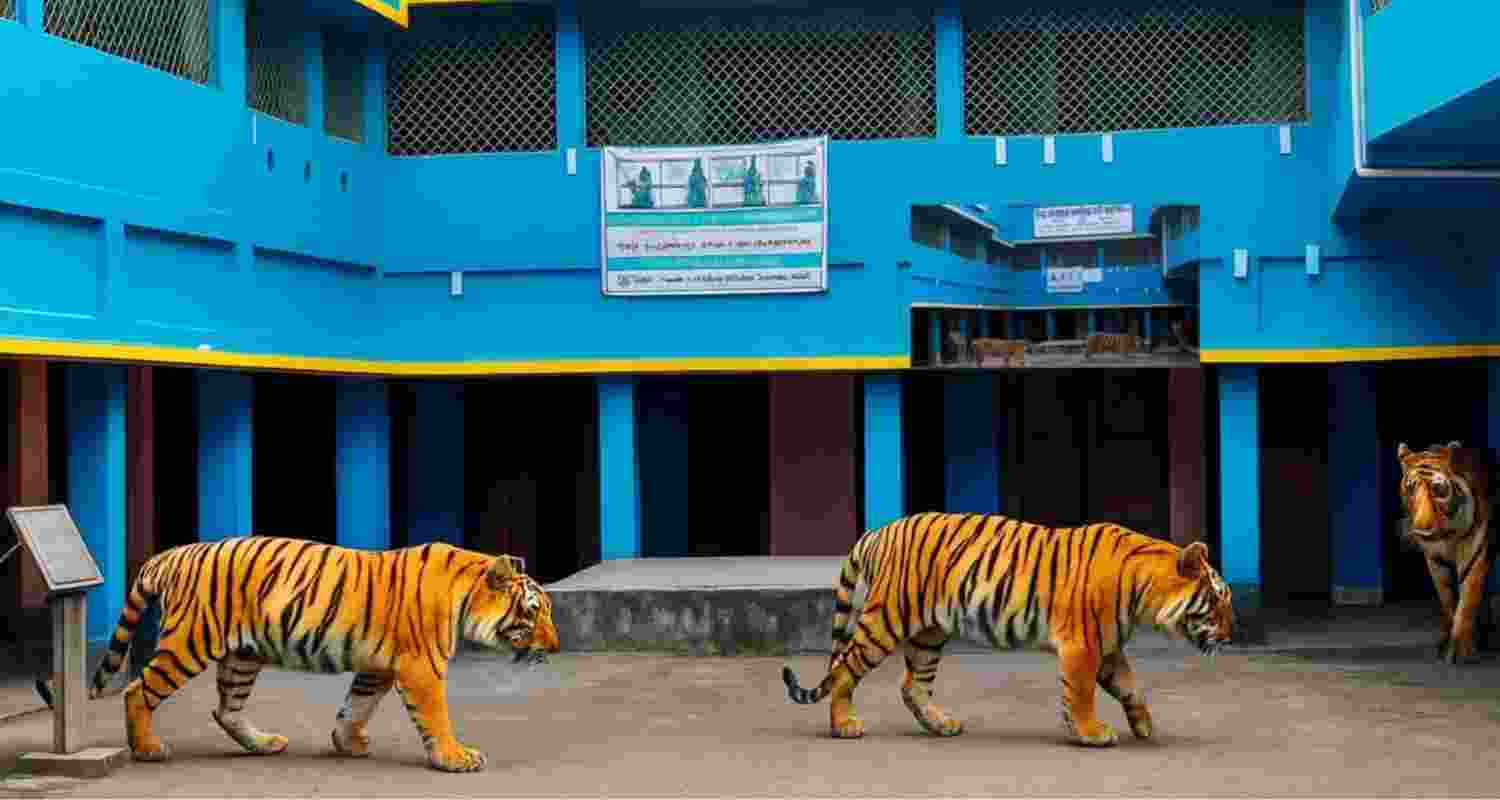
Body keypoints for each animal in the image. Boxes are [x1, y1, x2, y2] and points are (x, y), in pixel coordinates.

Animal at [34, 537, 560, 772]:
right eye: (532, 613)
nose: (554, 647)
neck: (463, 595)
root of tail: (171, 554)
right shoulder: (421, 668)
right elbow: (436, 716)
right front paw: (456, 757)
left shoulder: (377, 666)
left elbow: (356, 706)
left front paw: (348, 742)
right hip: (189, 643)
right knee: (138, 690)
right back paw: (147, 748)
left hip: (243, 655)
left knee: (226, 708)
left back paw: (264, 743)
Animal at [782, 512, 1234, 747]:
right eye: (1216, 601)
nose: (1231, 637)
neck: (1143, 590)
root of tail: (878, 531)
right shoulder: (1083, 645)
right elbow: (1081, 694)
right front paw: (1090, 733)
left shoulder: (1107, 648)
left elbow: (1131, 687)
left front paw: (1144, 726)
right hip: (884, 620)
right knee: (844, 669)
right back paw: (844, 725)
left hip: (929, 634)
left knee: (912, 685)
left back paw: (942, 725)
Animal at [1398, 442, 1494, 664]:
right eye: (1411, 488)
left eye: (1438, 489)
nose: (1423, 531)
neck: (1447, 535)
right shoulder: (1435, 560)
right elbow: (1448, 599)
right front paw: (1447, 645)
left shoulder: (1475, 550)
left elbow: (1468, 598)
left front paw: (1461, 649)